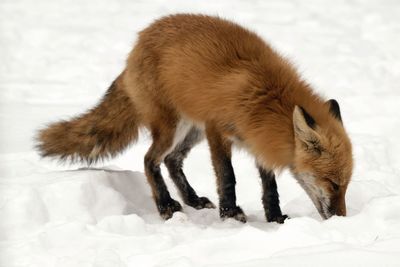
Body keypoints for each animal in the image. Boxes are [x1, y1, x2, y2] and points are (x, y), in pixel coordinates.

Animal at [36, 14, 352, 224]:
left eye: (346, 185)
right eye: (333, 184)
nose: (342, 219)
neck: (264, 97)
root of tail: (137, 43)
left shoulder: (256, 139)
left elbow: (269, 187)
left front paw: (274, 217)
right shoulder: (217, 130)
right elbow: (227, 177)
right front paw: (231, 214)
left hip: (191, 130)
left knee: (172, 161)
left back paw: (192, 200)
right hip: (173, 127)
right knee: (150, 161)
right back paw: (166, 205)